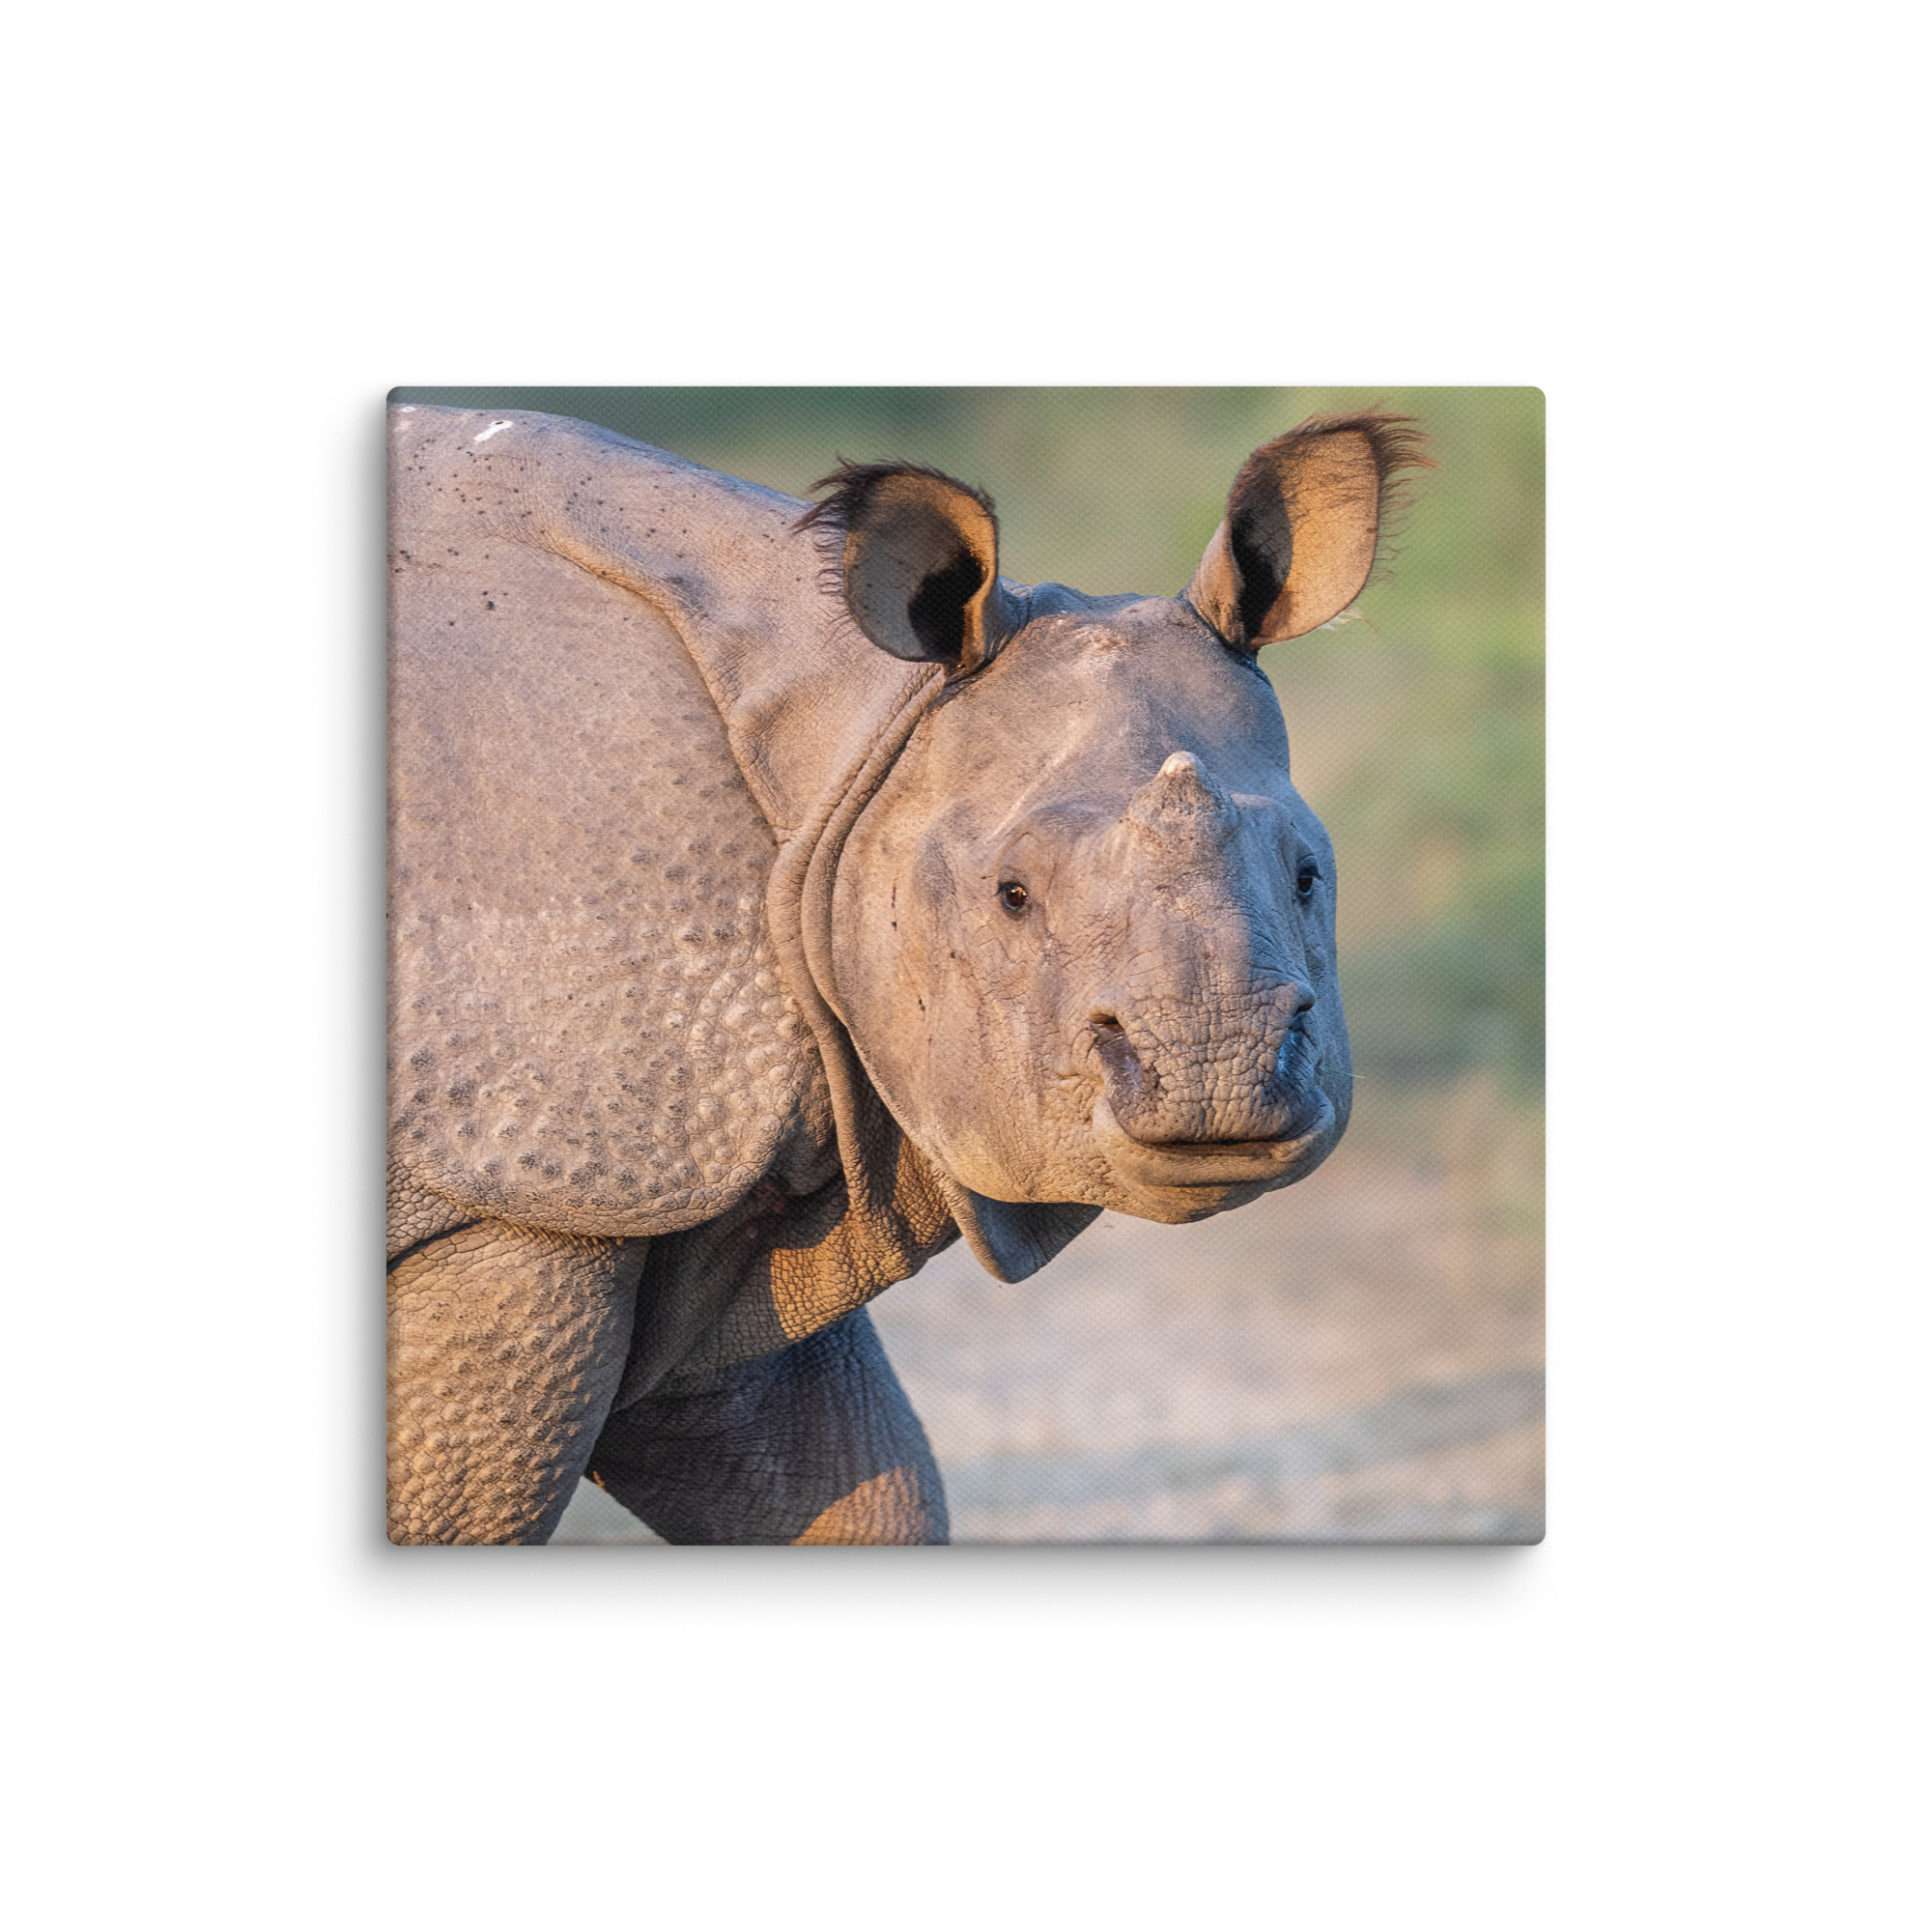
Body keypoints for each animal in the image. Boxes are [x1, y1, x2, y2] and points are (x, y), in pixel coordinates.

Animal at [387, 401, 1426, 1544]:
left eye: (1307, 876)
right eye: (1011, 895)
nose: (1216, 1075)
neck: (858, 740)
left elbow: (859, 1488)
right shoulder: (531, 1191)